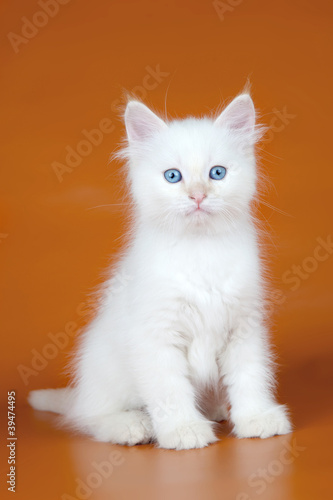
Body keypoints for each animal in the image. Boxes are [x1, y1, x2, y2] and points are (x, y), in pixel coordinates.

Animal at [29, 94, 292, 450]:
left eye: (217, 173)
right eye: (173, 177)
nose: (198, 196)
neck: (200, 250)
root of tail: (80, 393)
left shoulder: (244, 326)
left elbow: (250, 377)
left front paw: (256, 418)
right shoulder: (156, 335)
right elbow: (170, 391)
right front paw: (183, 430)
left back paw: (214, 410)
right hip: (105, 374)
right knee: (91, 418)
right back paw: (133, 425)